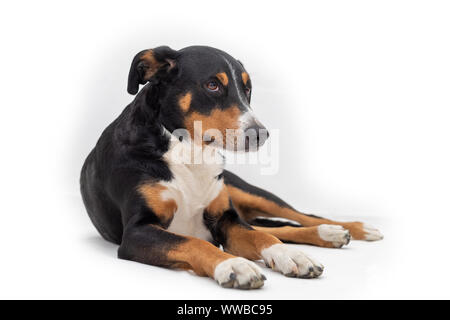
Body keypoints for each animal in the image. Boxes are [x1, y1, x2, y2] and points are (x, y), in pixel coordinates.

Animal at [81, 45, 384, 290]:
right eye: (212, 85)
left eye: (247, 89)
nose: (260, 134)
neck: (190, 152)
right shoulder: (136, 231)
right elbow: (194, 241)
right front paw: (232, 265)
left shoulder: (225, 218)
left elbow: (261, 236)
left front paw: (290, 255)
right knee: (276, 225)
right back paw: (330, 234)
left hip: (246, 191)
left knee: (293, 217)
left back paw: (343, 229)